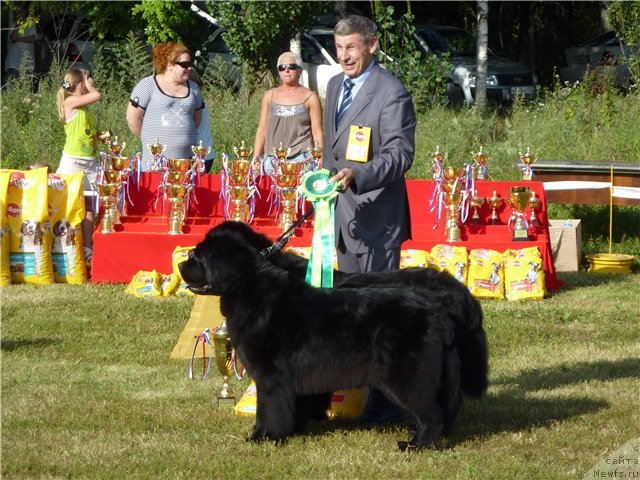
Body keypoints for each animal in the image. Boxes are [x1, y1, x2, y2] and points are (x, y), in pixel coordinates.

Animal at [178, 221, 488, 450]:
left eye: (196, 256)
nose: (180, 266)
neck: (247, 285)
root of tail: (446, 305)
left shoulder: (271, 375)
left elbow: (269, 408)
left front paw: (263, 437)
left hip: (407, 374)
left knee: (430, 413)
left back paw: (416, 445)